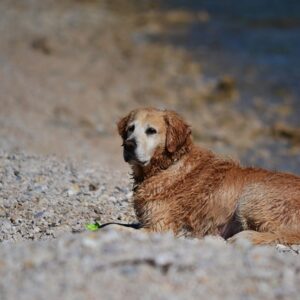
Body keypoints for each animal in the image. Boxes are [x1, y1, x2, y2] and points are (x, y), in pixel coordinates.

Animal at [116, 107, 300, 244]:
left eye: (151, 131)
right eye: (130, 128)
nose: (129, 145)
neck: (168, 165)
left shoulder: (160, 226)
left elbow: (117, 227)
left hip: (252, 196)